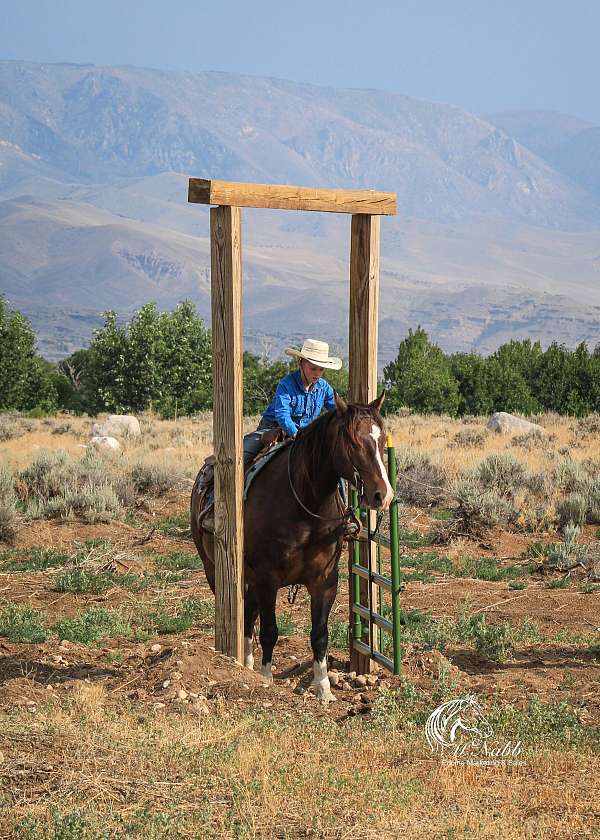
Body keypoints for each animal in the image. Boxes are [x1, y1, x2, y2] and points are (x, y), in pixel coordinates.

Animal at [190, 394, 392, 704]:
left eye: (382, 440)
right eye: (352, 442)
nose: (382, 495)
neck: (305, 504)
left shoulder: (325, 581)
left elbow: (319, 634)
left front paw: (323, 688)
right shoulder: (267, 579)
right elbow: (269, 631)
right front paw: (266, 678)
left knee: (249, 614)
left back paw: (247, 663)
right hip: (214, 570)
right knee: (243, 616)